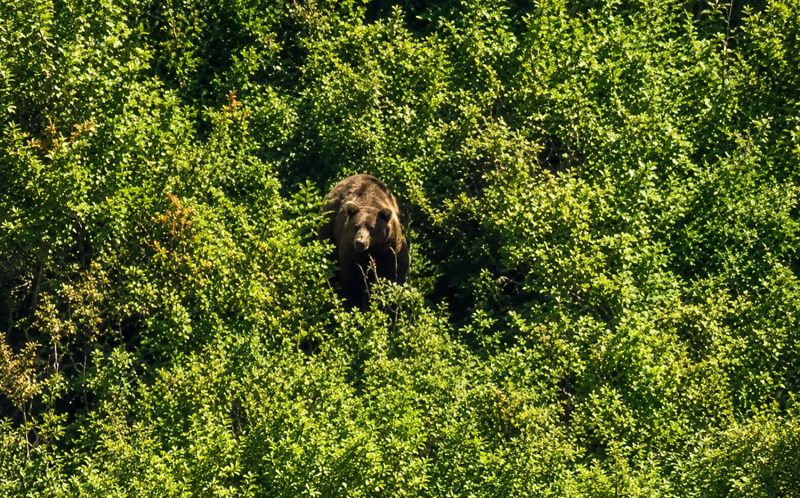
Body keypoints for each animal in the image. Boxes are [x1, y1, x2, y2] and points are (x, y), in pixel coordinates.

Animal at [319, 174, 409, 310]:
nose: (360, 242)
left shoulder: (390, 247)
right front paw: (353, 302)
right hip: (329, 222)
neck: (372, 249)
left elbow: (394, 271)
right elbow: (351, 277)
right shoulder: (350, 248)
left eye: (372, 228)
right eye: (356, 226)